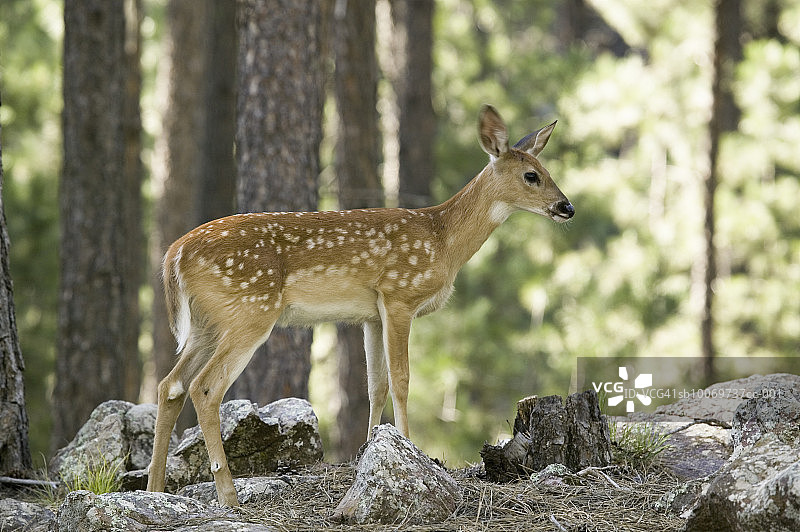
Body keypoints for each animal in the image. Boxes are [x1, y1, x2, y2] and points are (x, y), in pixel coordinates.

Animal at [146, 105, 574, 506]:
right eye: (531, 175)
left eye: (546, 169)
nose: (566, 207)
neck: (443, 240)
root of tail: (173, 255)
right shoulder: (399, 294)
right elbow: (401, 380)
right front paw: (410, 449)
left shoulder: (371, 315)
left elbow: (376, 385)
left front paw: (370, 452)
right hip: (251, 310)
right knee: (205, 388)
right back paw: (228, 495)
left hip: (207, 323)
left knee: (171, 385)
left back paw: (155, 489)